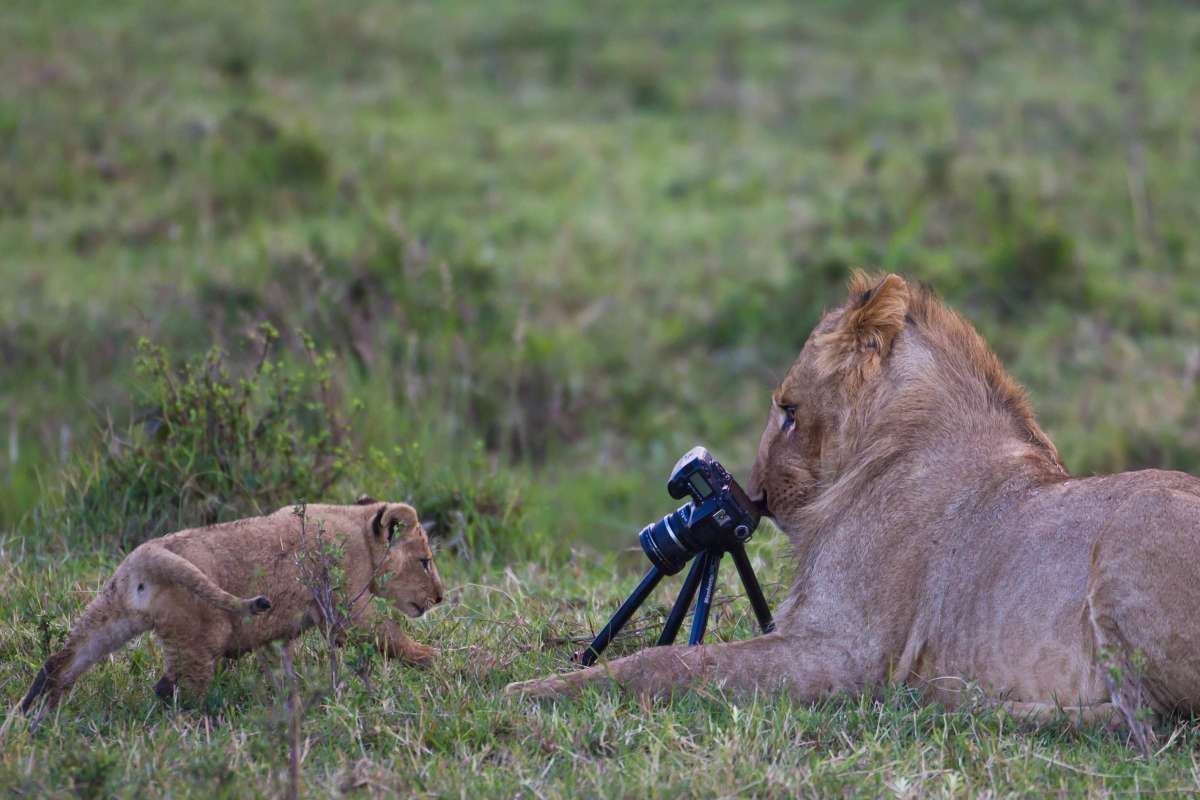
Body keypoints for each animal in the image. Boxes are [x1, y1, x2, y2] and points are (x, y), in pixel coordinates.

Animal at [511, 272, 1200, 748]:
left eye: (788, 411)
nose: (755, 494)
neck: (889, 448)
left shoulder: (848, 655)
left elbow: (675, 660)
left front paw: (530, 690)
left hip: (1127, 544)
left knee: (1149, 726)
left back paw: (951, 697)